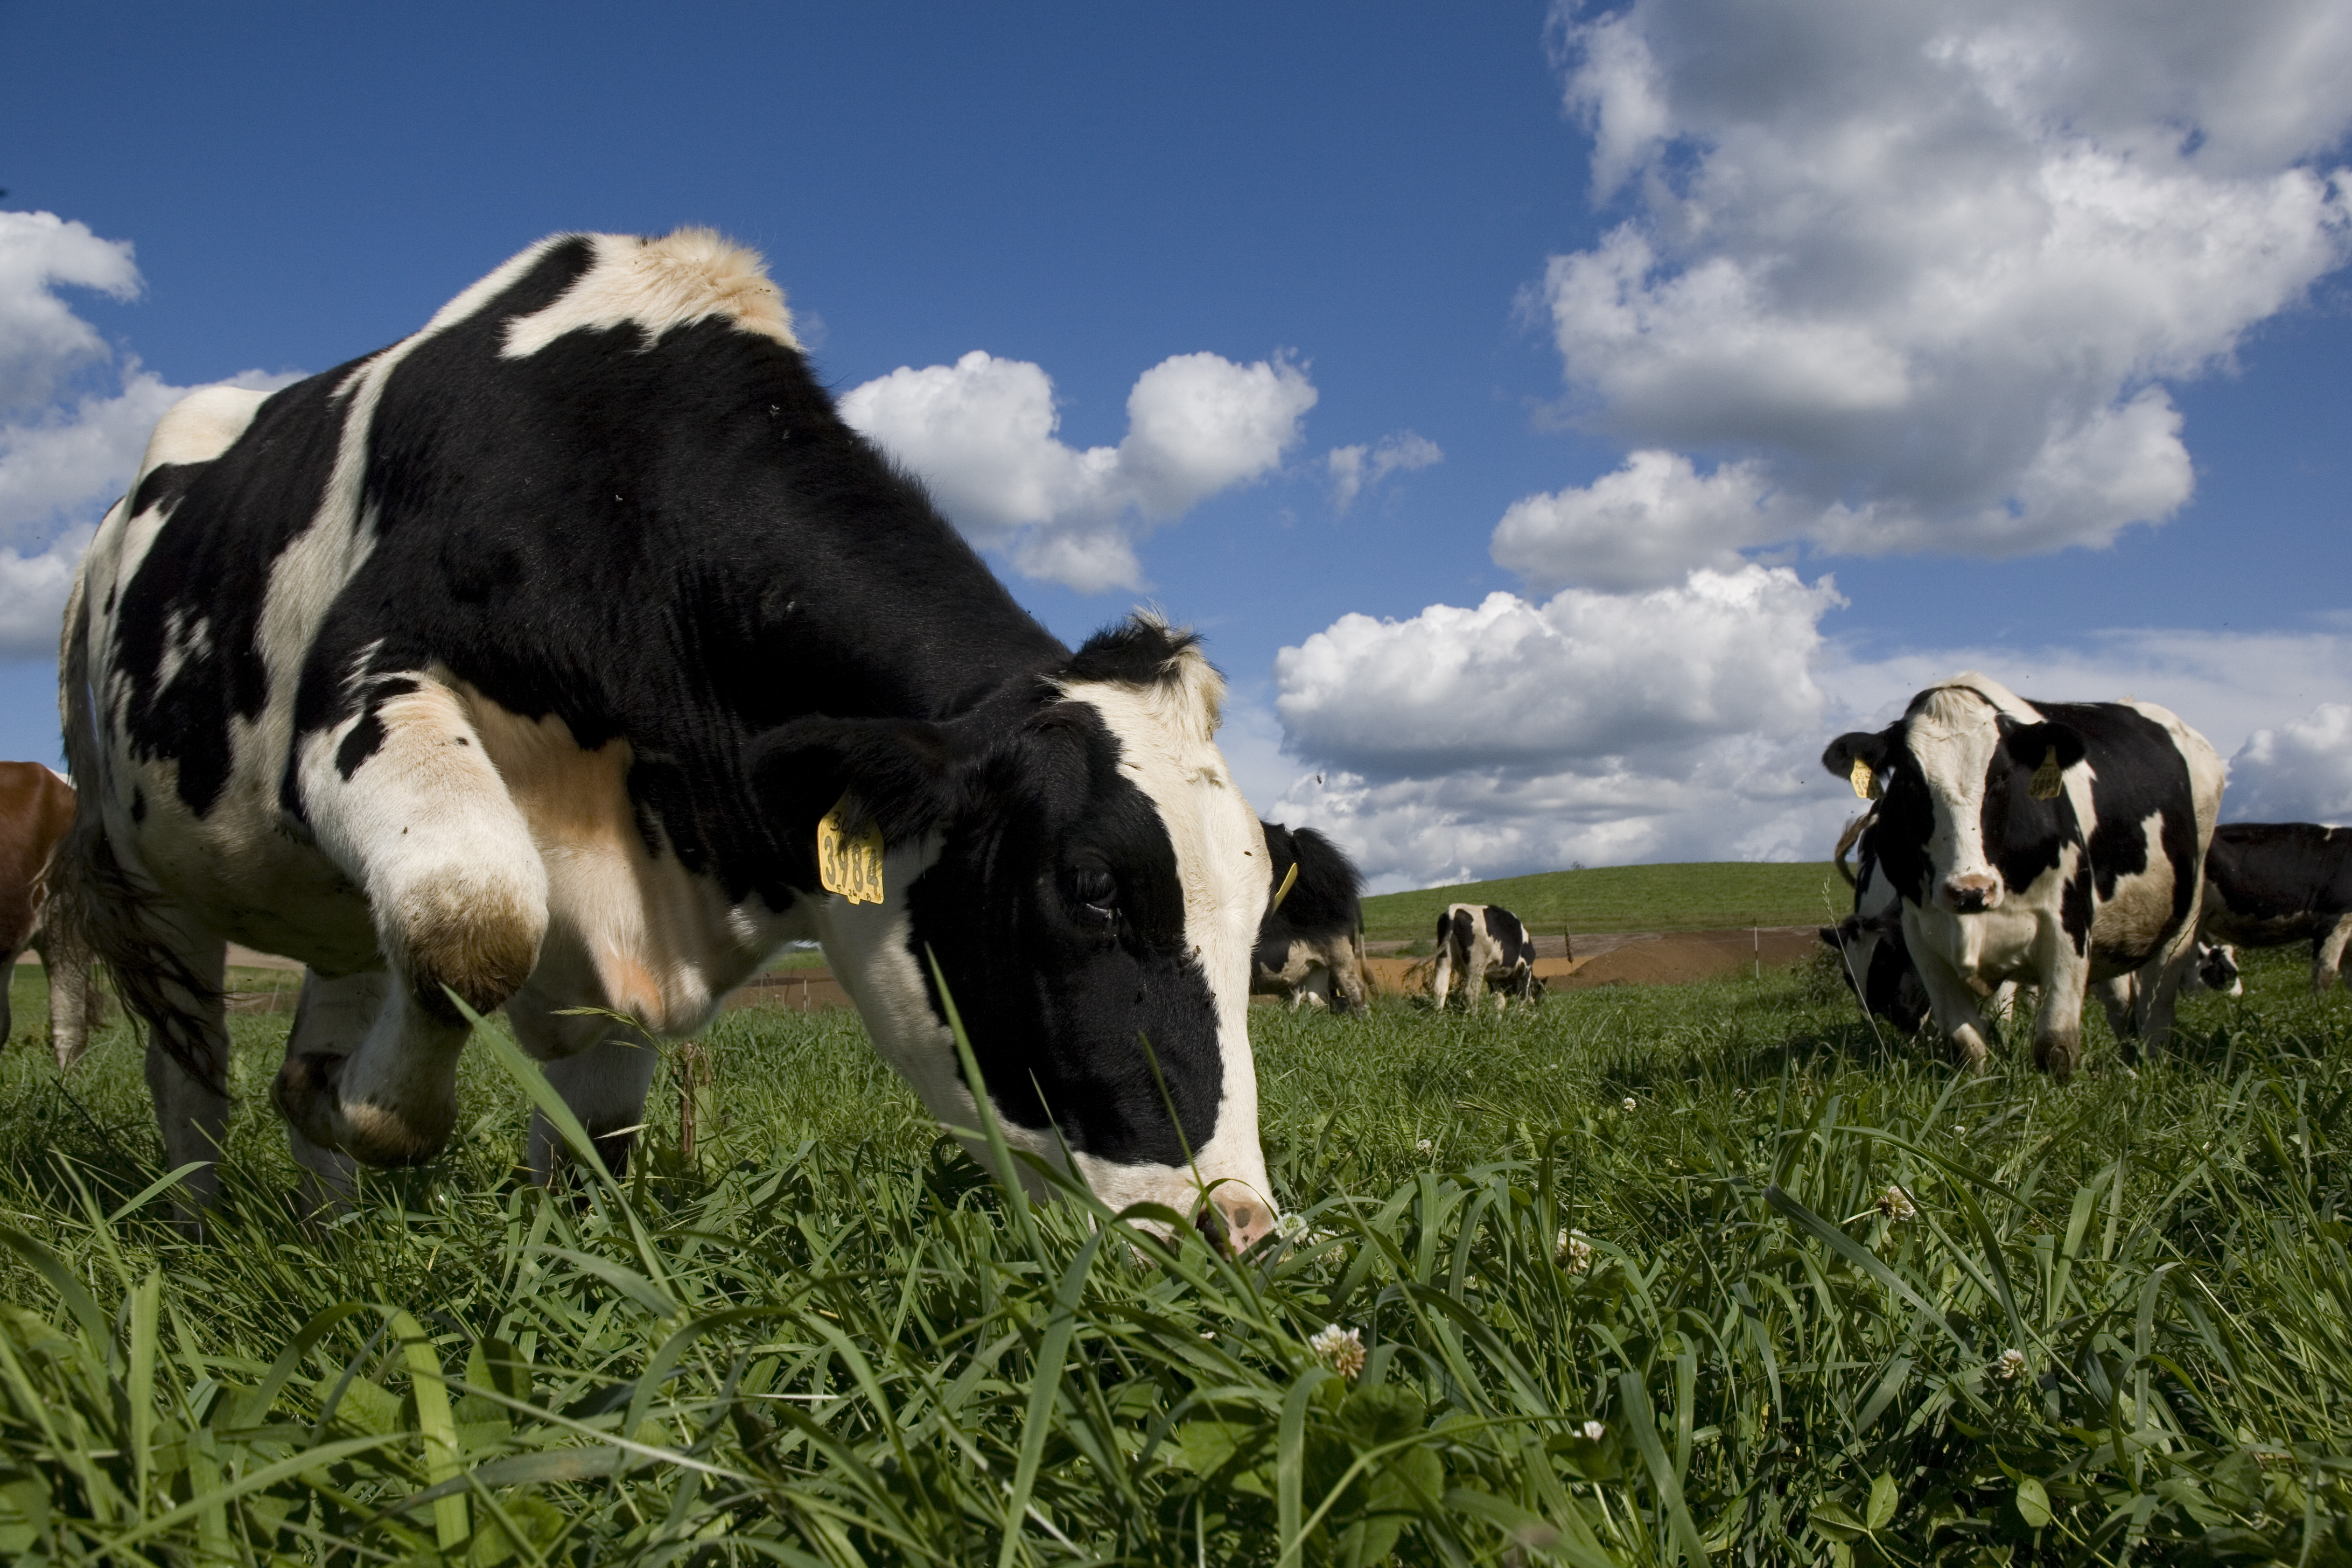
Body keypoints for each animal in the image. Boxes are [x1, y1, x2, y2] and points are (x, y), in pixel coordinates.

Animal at [59, 228, 1276, 1249]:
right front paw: (341, 1102)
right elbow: (473, 921)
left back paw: (333, 1237)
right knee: (189, 1067)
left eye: (1261, 907)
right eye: (1092, 887)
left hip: (325, 908)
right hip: (140, 862)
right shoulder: (363, 688)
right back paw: (199, 1228)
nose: (1240, 1231)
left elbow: (594, 1145)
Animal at [1430, 903, 1540, 1011]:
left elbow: (1500, 1002)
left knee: (1440, 988)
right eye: (1539, 990)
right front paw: (1522, 1013)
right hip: (1477, 964)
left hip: (1445, 959)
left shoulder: (1495, 978)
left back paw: (1439, 1014)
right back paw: (1475, 1016)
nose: (1537, 1005)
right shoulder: (1526, 968)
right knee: (1471, 992)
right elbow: (1522, 996)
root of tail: (1455, 909)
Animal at [1821, 674, 2223, 1077]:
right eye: (1910, 784)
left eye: (2001, 777)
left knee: (2157, 1001)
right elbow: (1967, 1045)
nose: (1970, 890)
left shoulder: (2069, 927)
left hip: (2182, 917)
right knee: (2121, 1003)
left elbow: (2054, 1047)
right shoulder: (1922, 937)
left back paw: (2153, 1063)